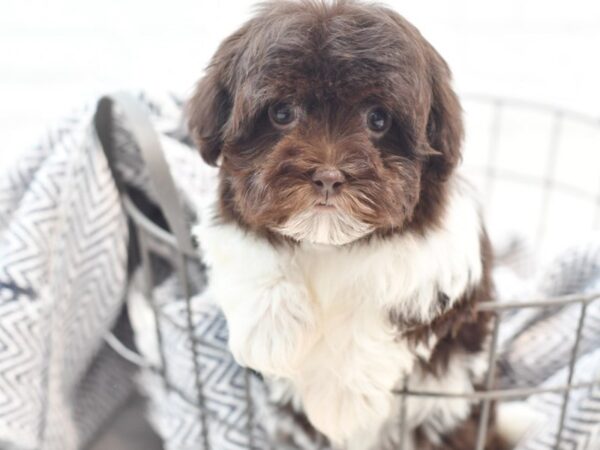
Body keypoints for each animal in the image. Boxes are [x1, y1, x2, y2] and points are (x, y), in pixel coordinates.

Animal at [190, 1, 504, 448]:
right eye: (281, 112)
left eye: (378, 120)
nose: (328, 176)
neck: (329, 242)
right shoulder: (231, 214)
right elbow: (249, 246)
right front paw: (270, 335)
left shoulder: (444, 259)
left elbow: (387, 295)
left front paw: (340, 396)